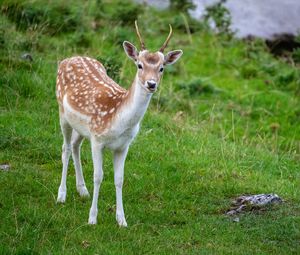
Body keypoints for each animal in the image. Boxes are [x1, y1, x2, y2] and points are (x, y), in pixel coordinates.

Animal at [56, 20, 183, 226]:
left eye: (162, 68)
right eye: (139, 65)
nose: (151, 84)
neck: (118, 121)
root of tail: (67, 59)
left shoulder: (123, 145)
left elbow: (119, 179)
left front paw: (122, 220)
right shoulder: (97, 139)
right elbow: (98, 176)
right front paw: (92, 218)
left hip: (81, 128)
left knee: (75, 145)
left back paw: (82, 190)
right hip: (62, 113)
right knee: (65, 148)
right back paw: (61, 195)